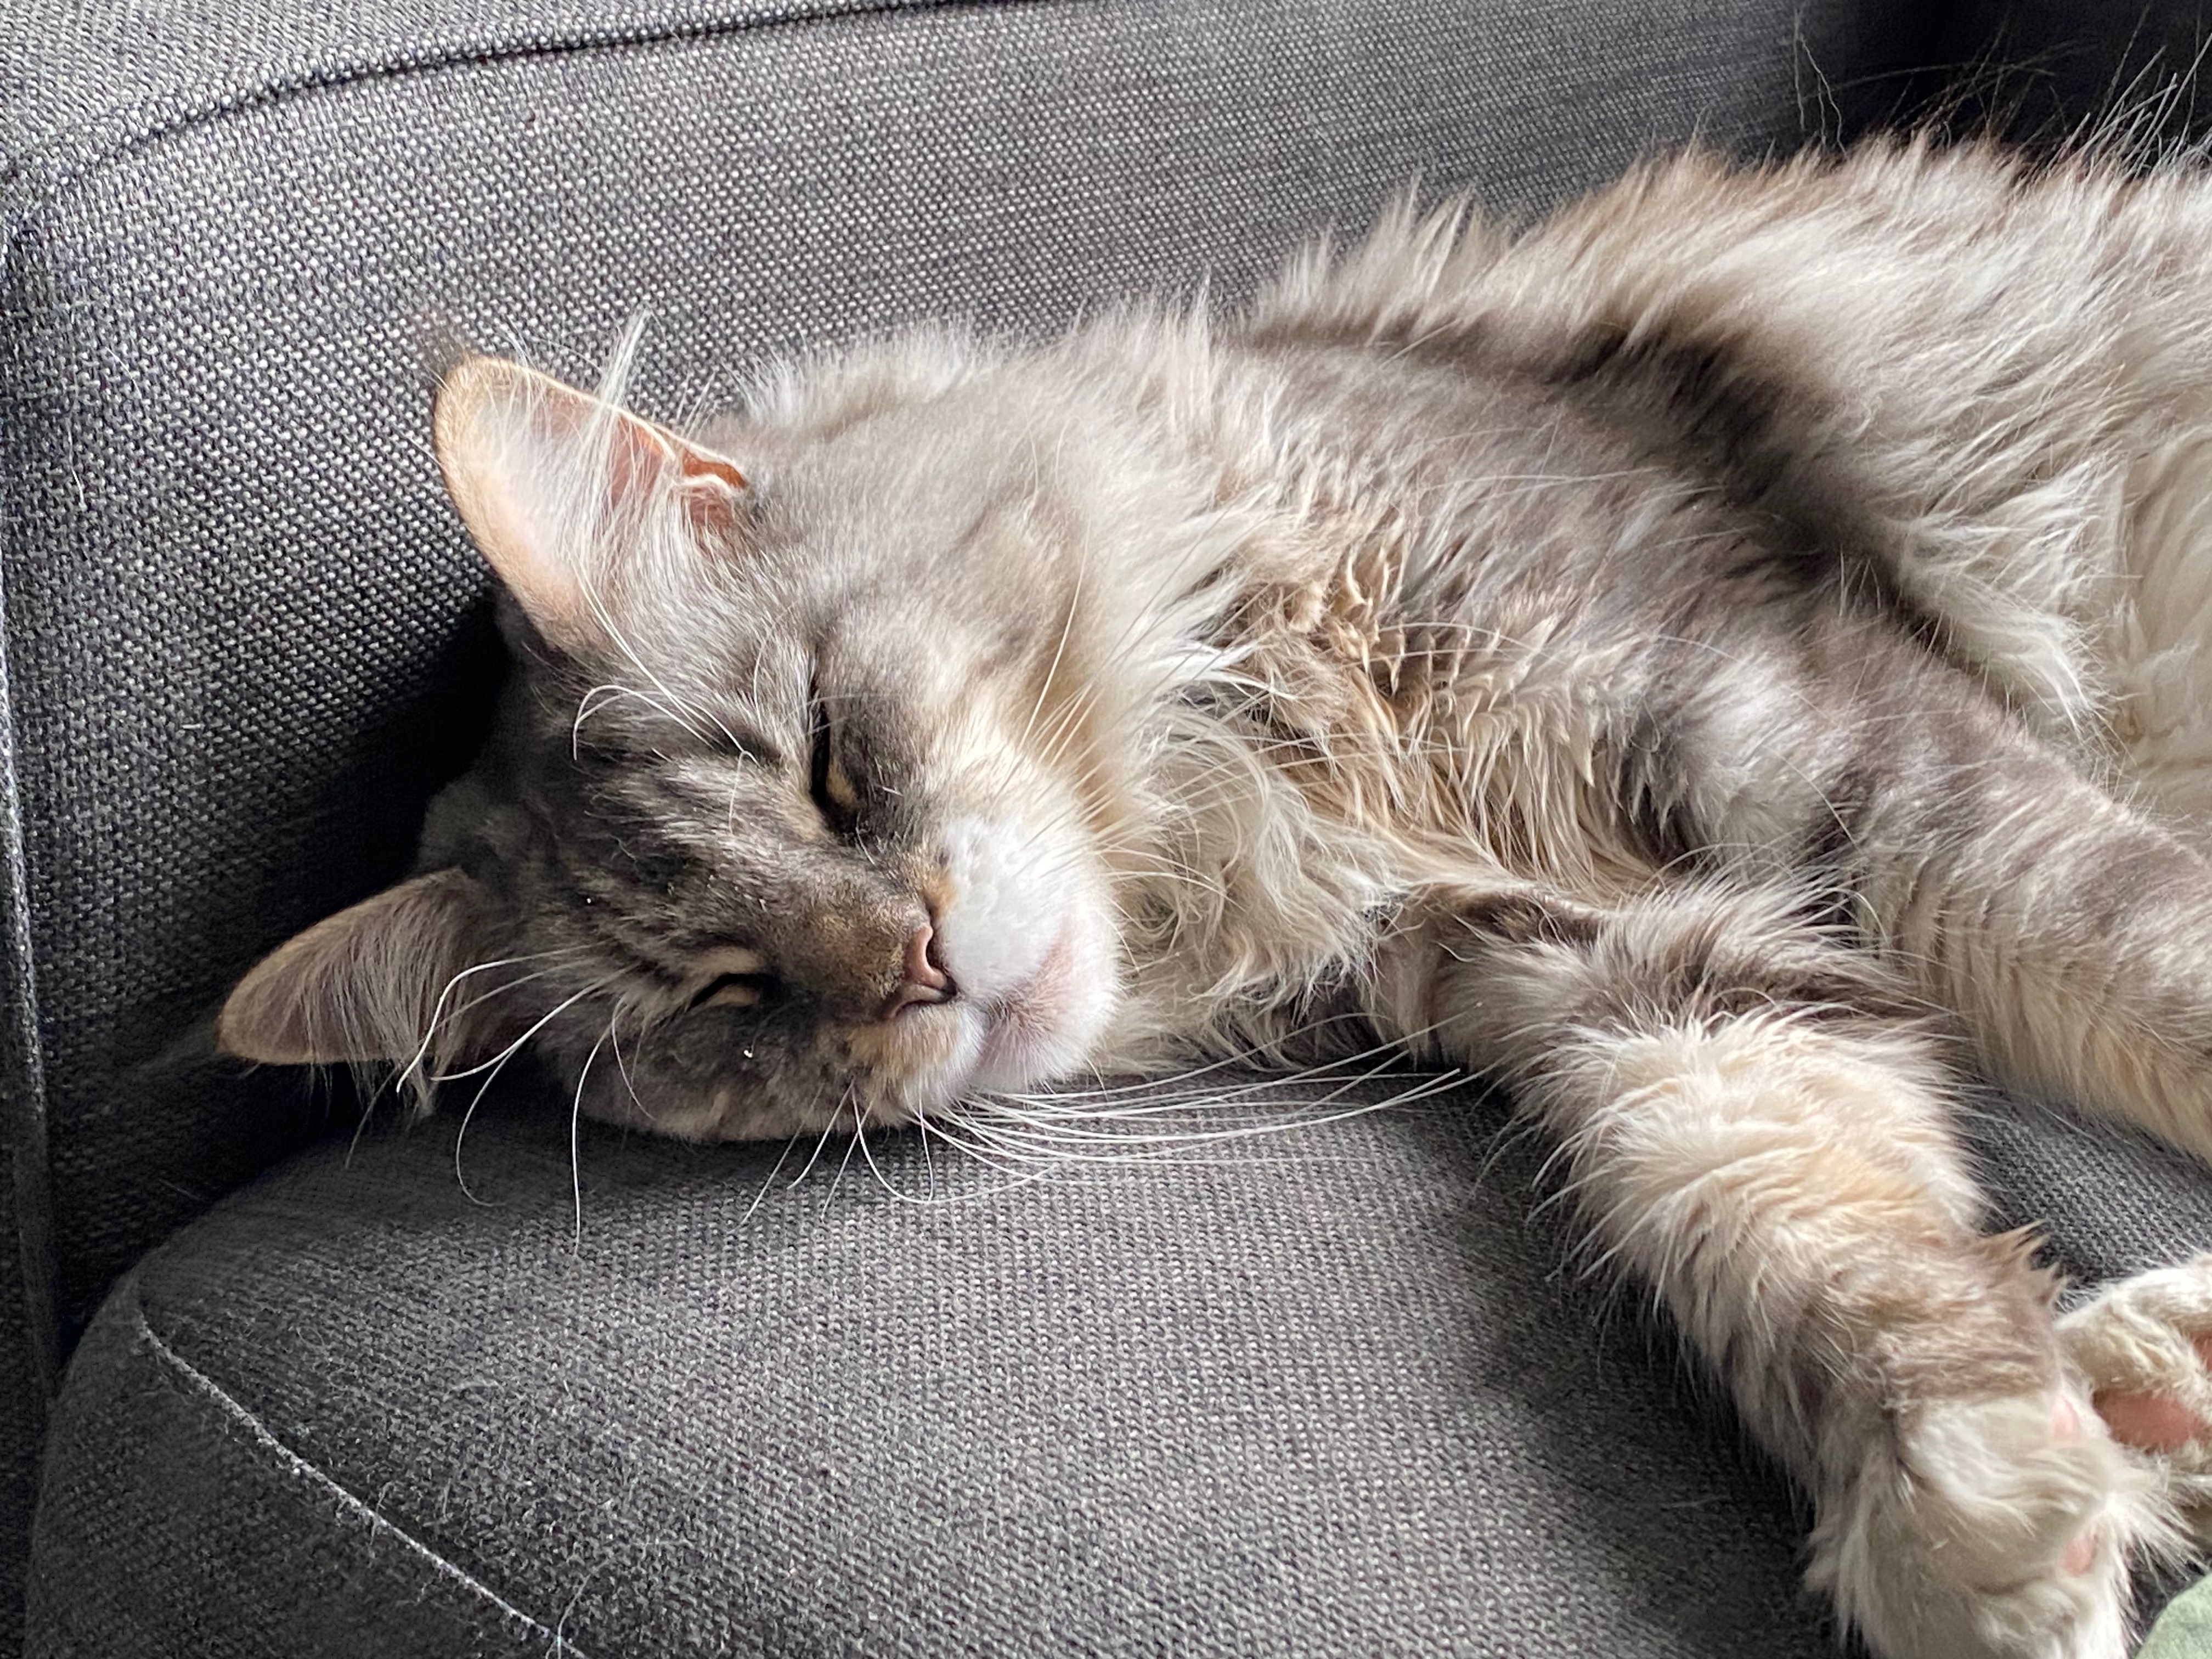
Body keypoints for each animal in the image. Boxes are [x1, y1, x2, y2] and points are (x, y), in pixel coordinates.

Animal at [220, 143, 2212, 1659]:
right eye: (727, 996)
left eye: (825, 764)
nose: (917, 967)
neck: (1252, 790)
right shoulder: (1633, 980)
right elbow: (1806, 1242)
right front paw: (1980, 1517)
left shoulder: (1800, 725)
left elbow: (2139, 953)